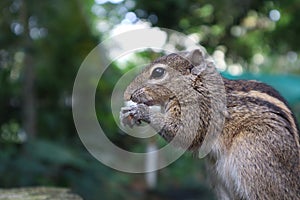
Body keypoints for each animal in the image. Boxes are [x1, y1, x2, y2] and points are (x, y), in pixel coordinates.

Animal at [119, 48, 300, 198]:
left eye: (158, 72)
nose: (126, 94)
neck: (196, 85)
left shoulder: (200, 111)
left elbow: (183, 132)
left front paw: (141, 111)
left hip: (253, 155)